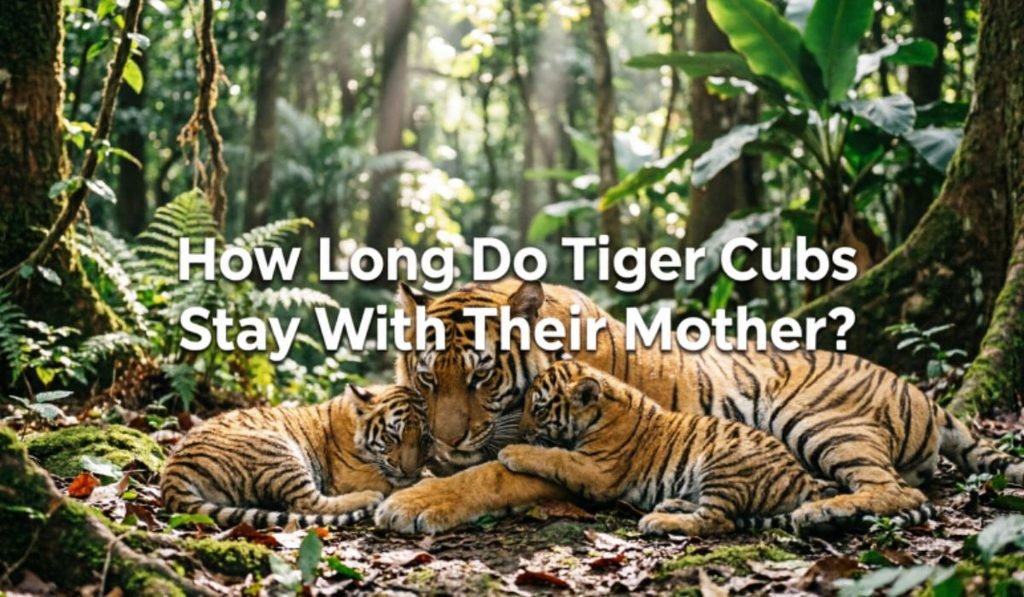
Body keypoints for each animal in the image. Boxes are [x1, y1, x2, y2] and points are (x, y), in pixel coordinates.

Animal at [161, 384, 431, 529]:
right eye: (392, 437)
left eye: (423, 440)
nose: (410, 470)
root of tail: (172, 471)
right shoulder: (352, 474)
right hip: (278, 451)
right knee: (308, 503)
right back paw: (370, 497)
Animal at [498, 360, 844, 536]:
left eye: (538, 409)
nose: (521, 432)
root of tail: (803, 479)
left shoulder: (598, 471)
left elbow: (554, 456)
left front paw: (513, 452)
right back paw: (671, 505)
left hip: (724, 463)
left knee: (717, 521)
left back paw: (659, 521)